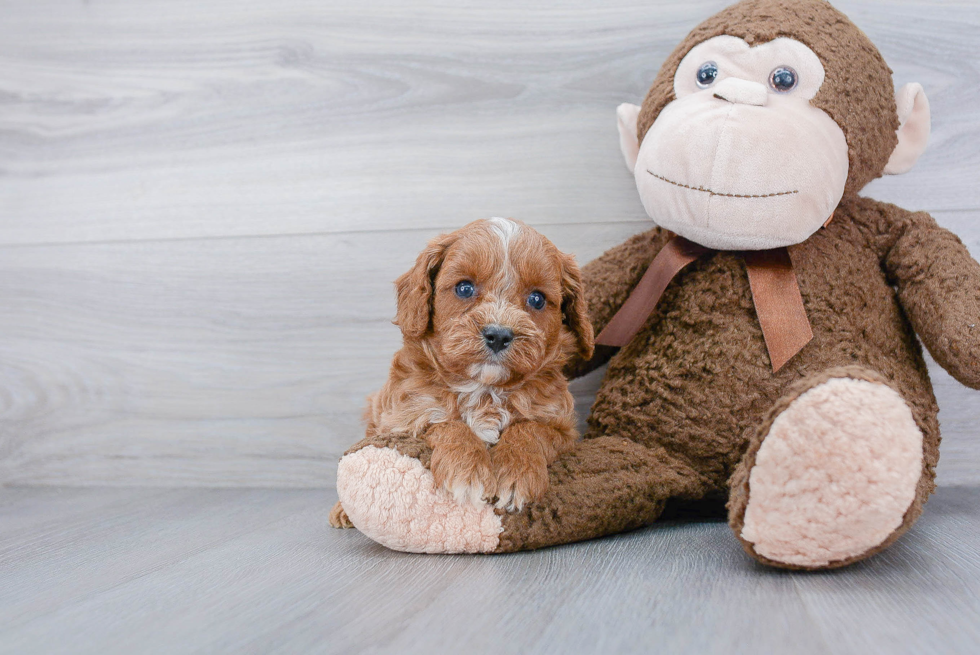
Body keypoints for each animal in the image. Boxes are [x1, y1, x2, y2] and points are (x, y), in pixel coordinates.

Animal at [330, 215, 592, 528]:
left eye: (537, 299)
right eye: (464, 288)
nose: (498, 335)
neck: (485, 389)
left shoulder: (563, 428)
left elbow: (530, 429)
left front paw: (517, 473)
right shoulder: (404, 419)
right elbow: (447, 423)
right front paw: (467, 473)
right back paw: (342, 510)